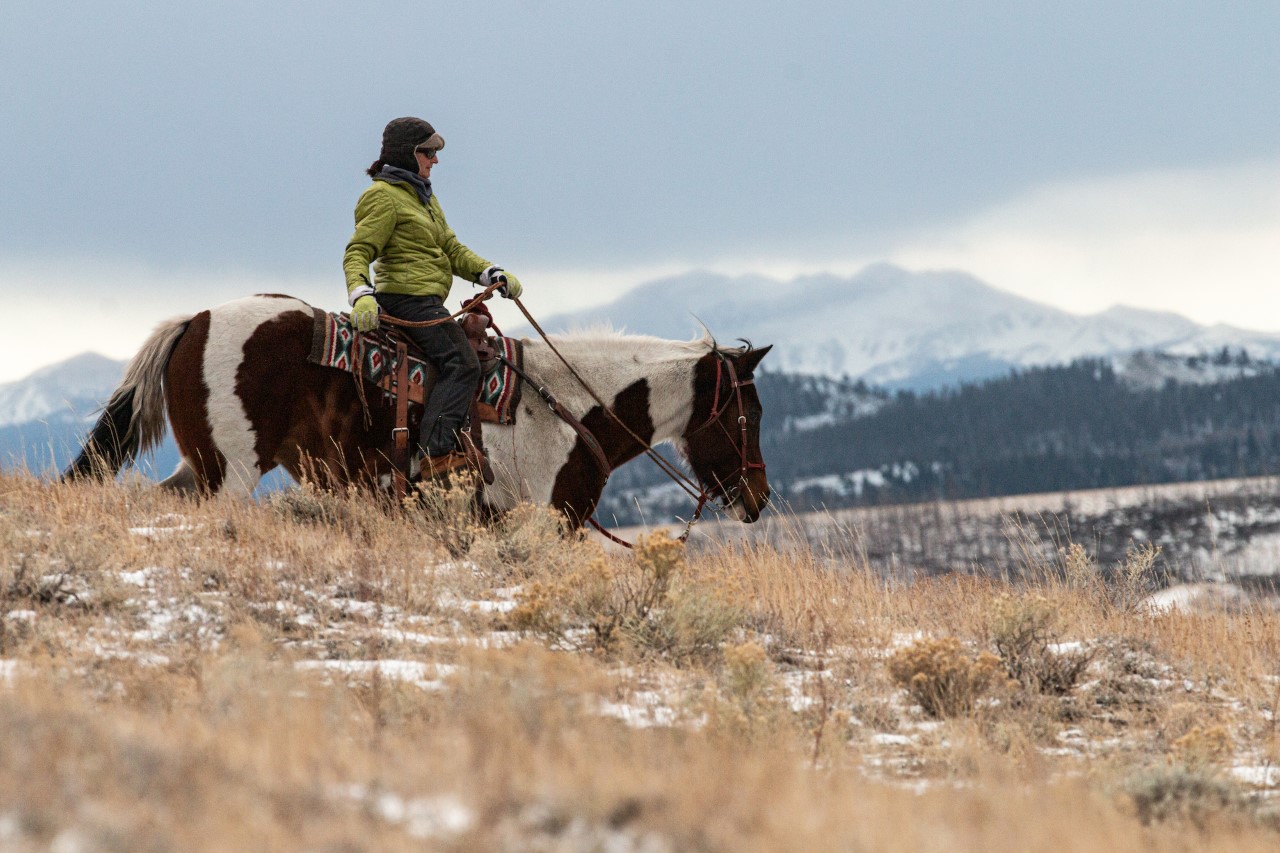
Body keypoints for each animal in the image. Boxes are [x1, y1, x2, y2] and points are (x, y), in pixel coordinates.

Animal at [62, 294, 768, 525]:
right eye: (748, 415)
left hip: (202, 466)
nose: (759, 501)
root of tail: (195, 320)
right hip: (230, 474)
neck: (568, 408)